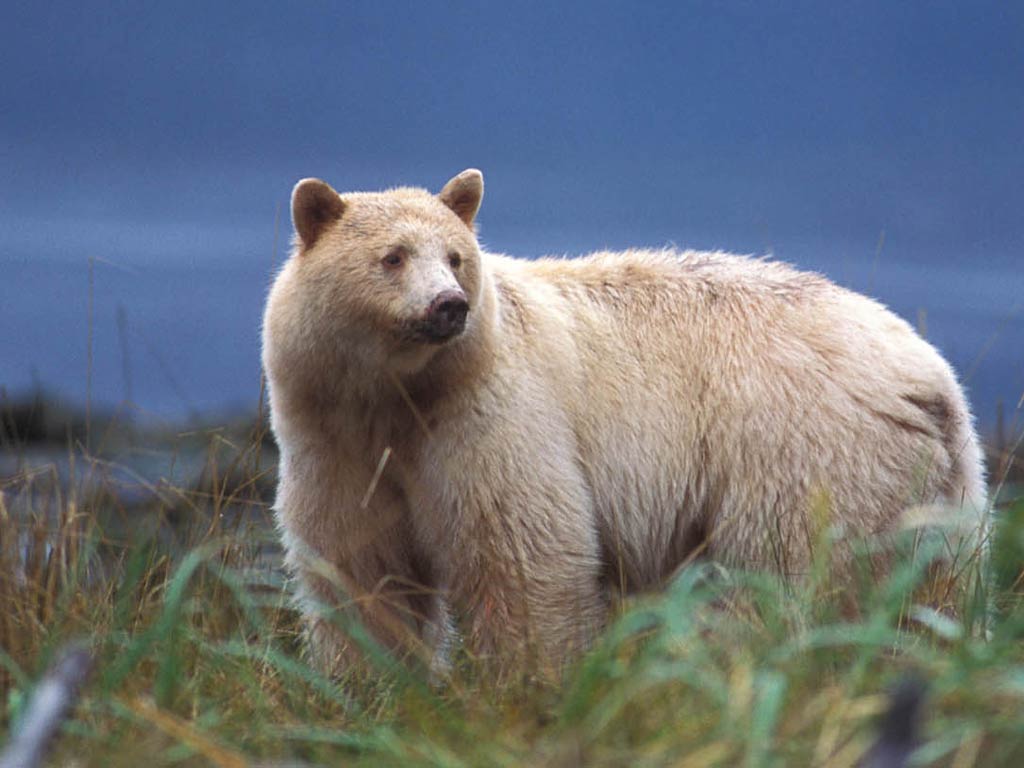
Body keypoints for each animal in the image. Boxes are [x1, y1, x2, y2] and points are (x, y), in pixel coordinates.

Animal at [261, 169, 987, 675]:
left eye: (457, 256)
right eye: (393, 256)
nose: (449, 306)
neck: (399, 394)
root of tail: (930, 380)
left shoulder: (487, 423)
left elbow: (522, 558)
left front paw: (526, 684)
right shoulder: (337, 442)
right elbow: (359, 572)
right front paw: (374, 685)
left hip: (805, 450)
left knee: (786, 576)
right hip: (939, 490)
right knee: (938, 592)